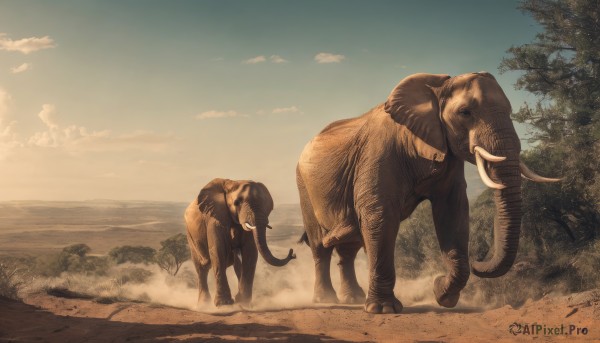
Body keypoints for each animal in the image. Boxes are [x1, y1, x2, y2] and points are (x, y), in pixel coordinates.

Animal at [184, 179, 294, 308]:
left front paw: (243, 302)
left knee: (236, 263)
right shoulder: (214, 217)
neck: (232, 183)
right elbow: (218, 250)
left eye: (270, 207)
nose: (292, 253)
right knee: (201, 268)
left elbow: (250, 252)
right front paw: (224, 304)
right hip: (190, 235)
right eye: (237, 202)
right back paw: (204, 305)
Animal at [298, 72, 560, 314]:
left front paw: (442, 294)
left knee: (348, 247)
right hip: (303, 187)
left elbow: (452, 212)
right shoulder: (378, 154)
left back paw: (352, 298)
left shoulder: (448, 152)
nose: (478, 261)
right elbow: (381, 216)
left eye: (510, 111)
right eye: (465, 112)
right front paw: (384, 309)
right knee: (321, 247)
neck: (437, 87)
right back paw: (325, 299)